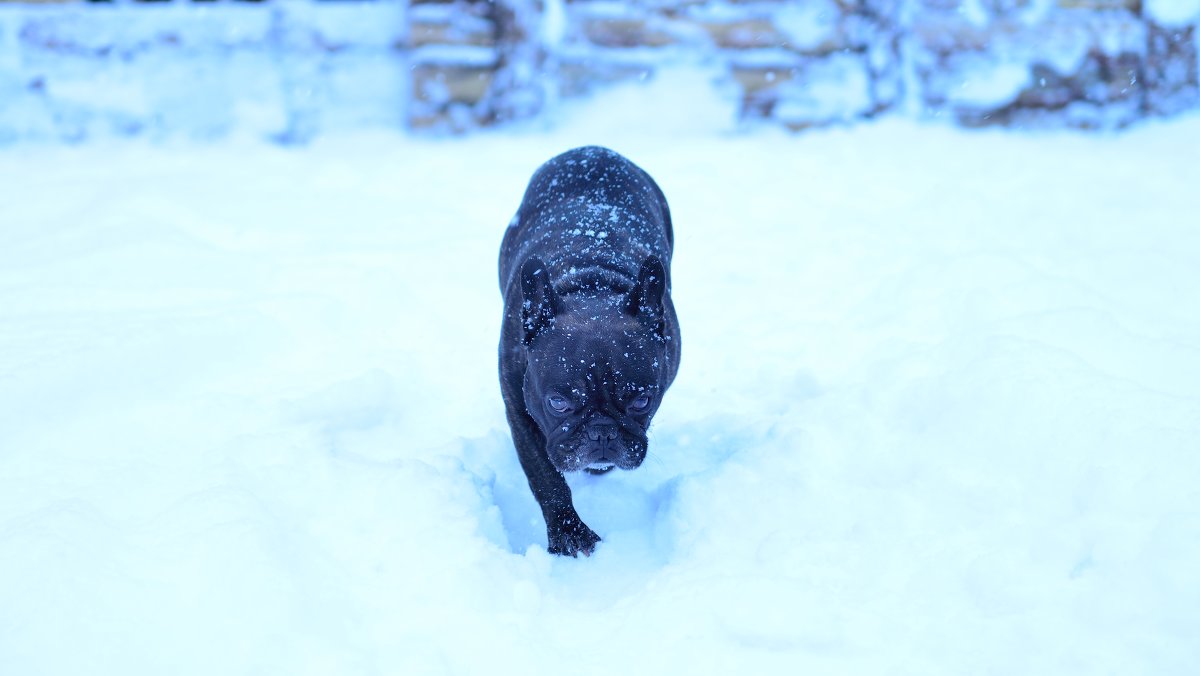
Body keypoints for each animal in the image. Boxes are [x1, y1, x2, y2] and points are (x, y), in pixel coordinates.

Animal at [496, 145, 681, 557]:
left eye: (642, 401)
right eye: (558, 403)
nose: (602, 434)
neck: (591, 290)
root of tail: (592, 150)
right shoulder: (520, 411)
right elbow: (545, 475)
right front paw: (570, 535)